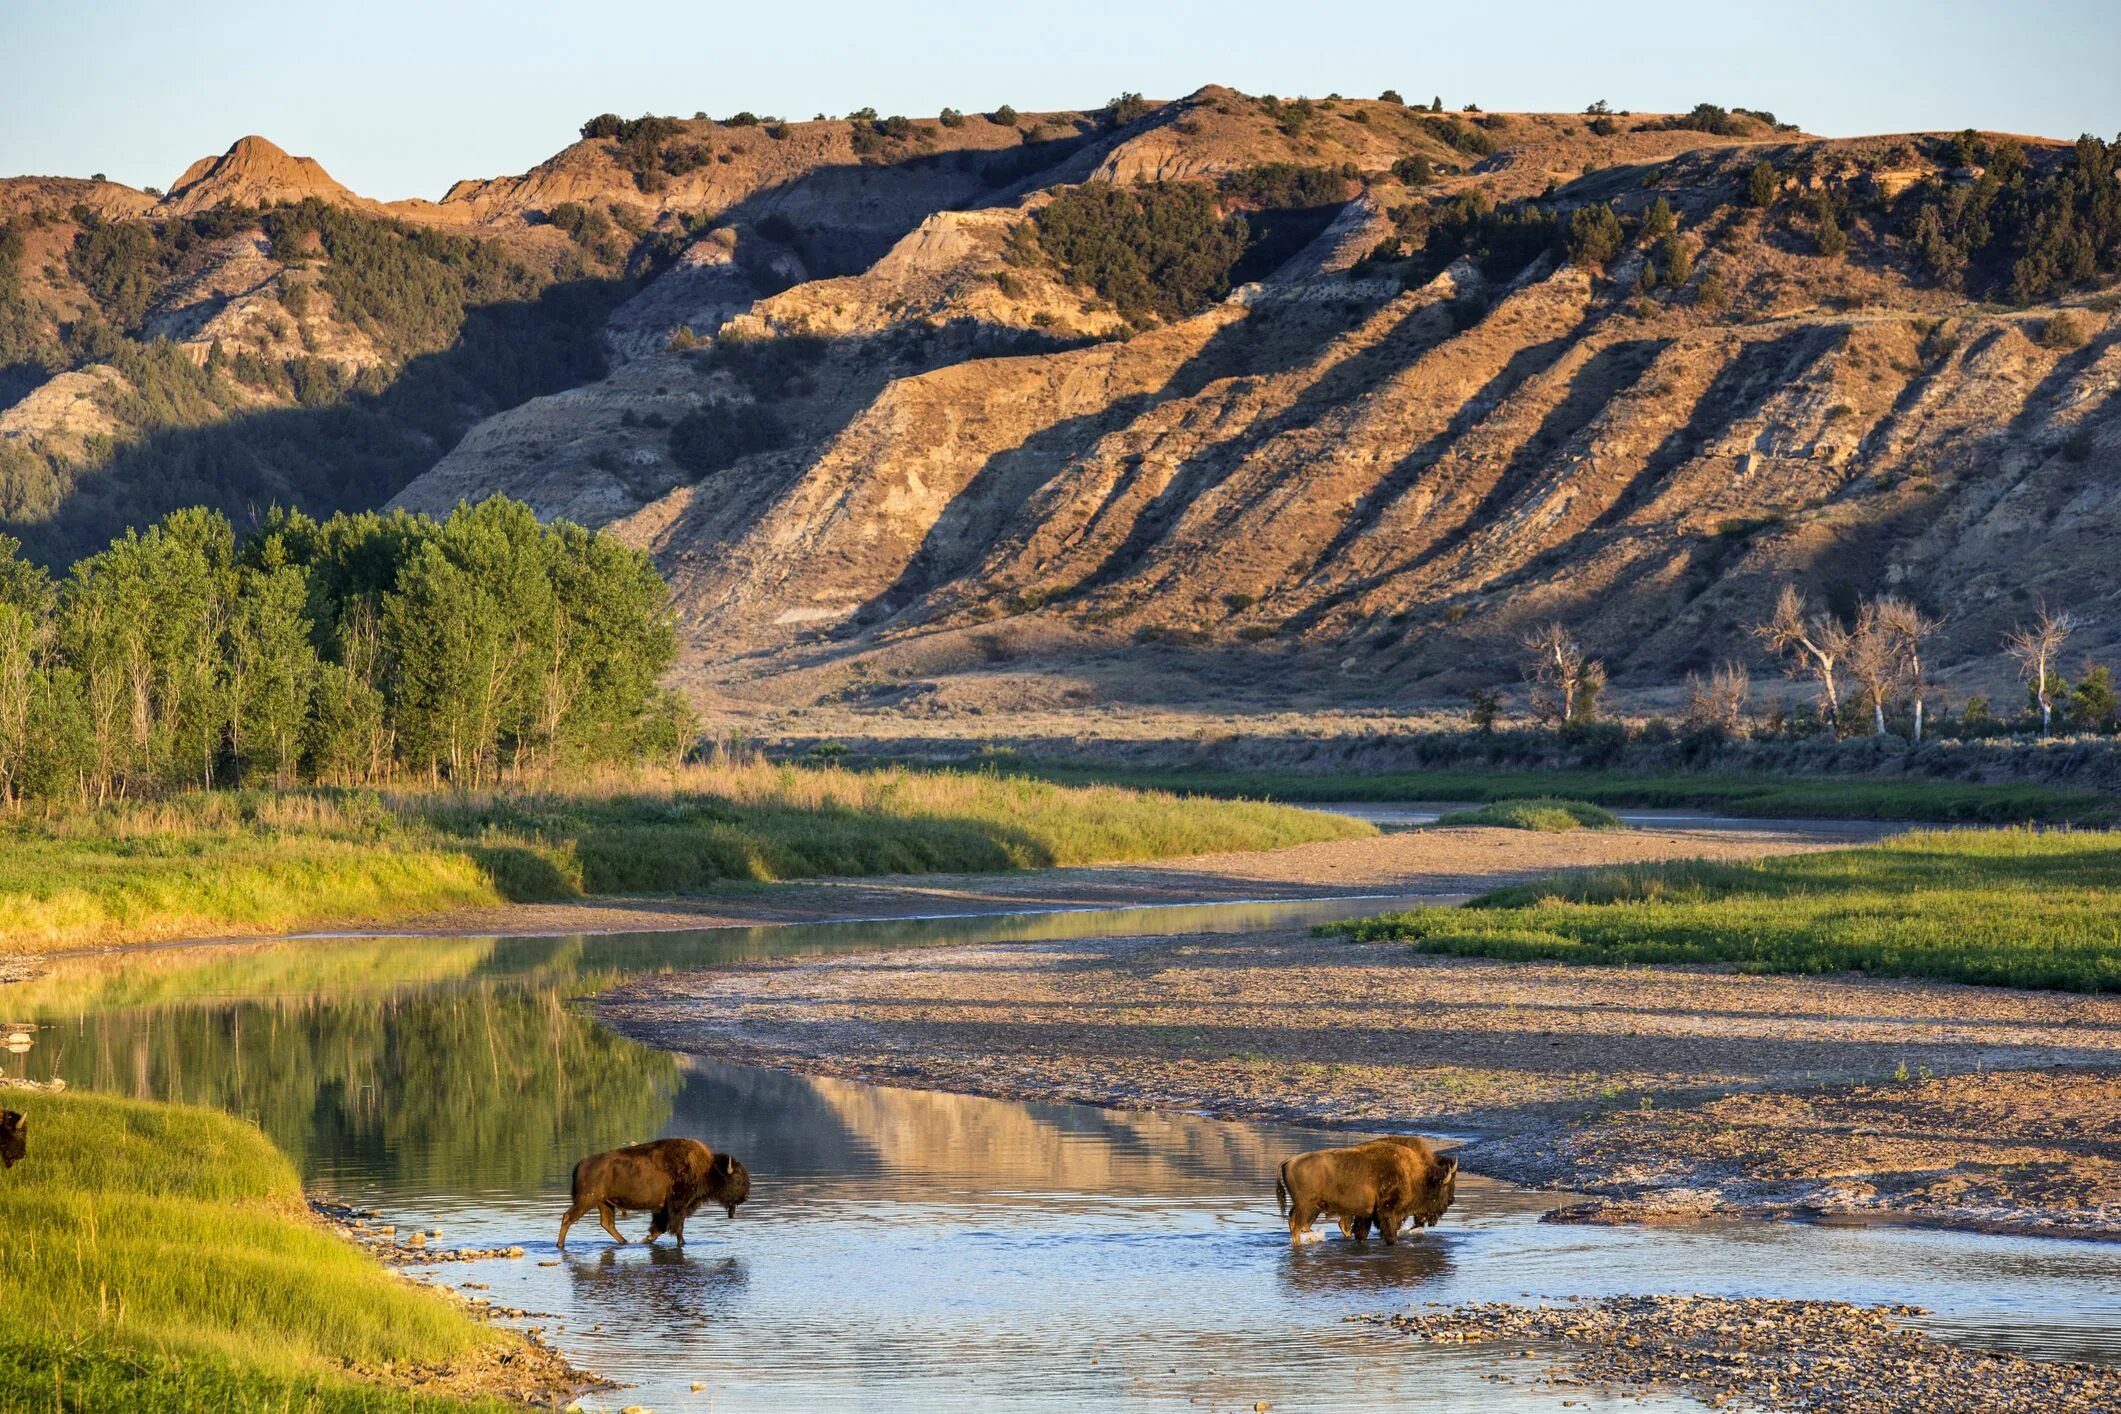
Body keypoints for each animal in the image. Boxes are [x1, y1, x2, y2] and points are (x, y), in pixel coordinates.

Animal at [555, 1136, 746, 1246]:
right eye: (737, 1179)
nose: (744, 1198)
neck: (708, 1169)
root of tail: (581, 1164)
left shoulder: (663, 1210)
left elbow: (659, 1228)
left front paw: (647, 1239)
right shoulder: (678, 1206)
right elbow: (677, 1228)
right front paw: (682, 1243)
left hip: (604, 1203)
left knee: (607, 1223)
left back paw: (625, 1242)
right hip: (586, 1201)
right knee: (568, 1217)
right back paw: (560, 1245)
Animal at [1272, 1136, 1459, 1246]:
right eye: (1445, 1187)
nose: (1450, 1202)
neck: (1414, 1173)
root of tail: (1289, 1160)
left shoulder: (1366, 1213)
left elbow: (1361, 1233)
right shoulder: (1387, 1212)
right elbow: (1389, 1234)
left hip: (1312, 1208)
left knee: (1300, 1224)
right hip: (1306, 1207)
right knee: (1295, 1224)